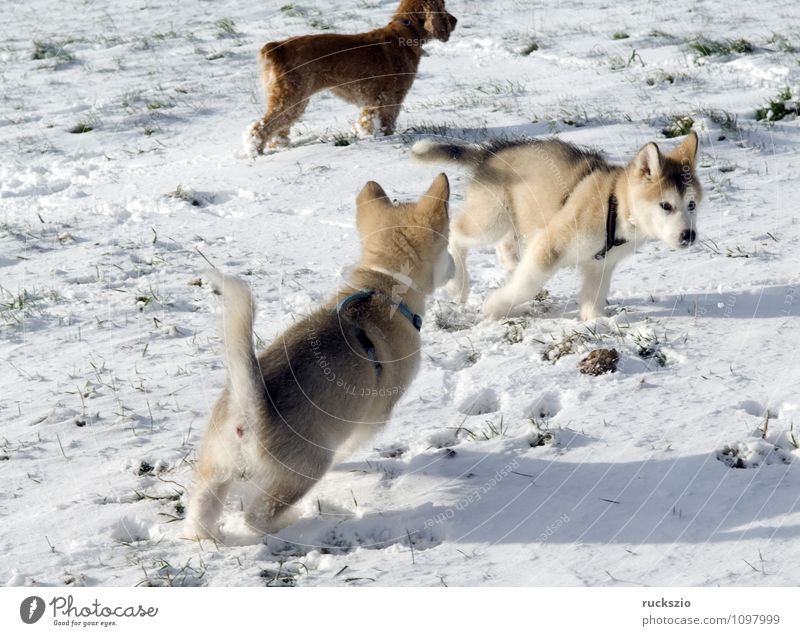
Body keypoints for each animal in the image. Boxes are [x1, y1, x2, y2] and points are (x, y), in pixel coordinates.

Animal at [184, 175, 454, 540]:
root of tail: (248, 411)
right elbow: (350, 444)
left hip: (215, 470)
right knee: (257, 517)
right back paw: (294, 519)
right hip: (305, 469)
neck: (382, 287)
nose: (455, 266)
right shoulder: (372, 417)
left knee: (199, 517)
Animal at [244, 1, 456, 156]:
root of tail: (275, 48)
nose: (455, 20)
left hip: (294, 99)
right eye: (443, 5)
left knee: (279, 128)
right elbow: (386, 122)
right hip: (291, 97)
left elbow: (367, 121)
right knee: (261, 126)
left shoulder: (373, 101)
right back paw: (255, 150)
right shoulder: (390, 97)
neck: (403, 34)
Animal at [412, 135, 700, 322]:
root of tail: (489, 154)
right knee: (457, 232)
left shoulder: (601, 265)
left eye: (692, 204)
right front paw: (495, 306)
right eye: (665, 205)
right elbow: (526, 284)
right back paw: (459, 286)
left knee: (505, 247)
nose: (689, 235)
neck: (615, 206)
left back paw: (511, 267)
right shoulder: (551, 244)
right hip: (491, 218)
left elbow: (594, 296)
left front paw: (595, 322)